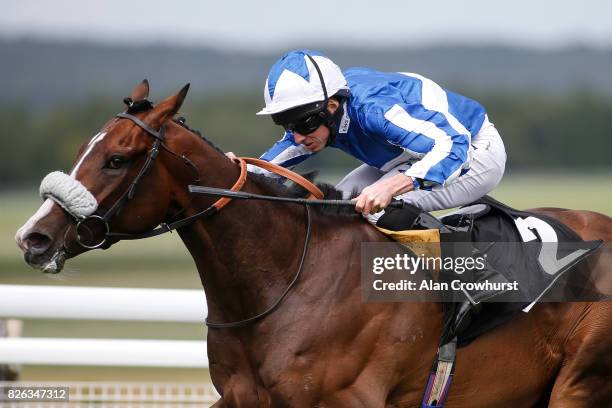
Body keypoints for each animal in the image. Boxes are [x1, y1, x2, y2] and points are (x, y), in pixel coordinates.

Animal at [14, 81, 612, 406]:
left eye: (117, 159)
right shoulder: (239, 399)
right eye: (86, 150)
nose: (33, 237)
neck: (286, 281)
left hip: (578, 384)